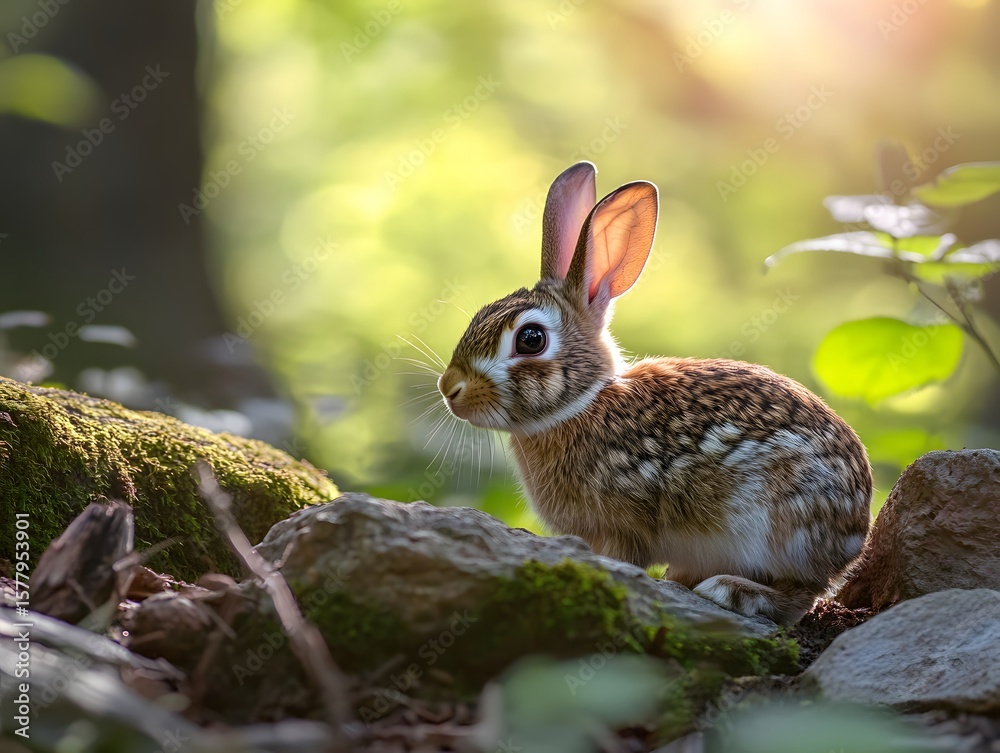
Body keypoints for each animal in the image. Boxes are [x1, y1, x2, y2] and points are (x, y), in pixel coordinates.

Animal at [437, 161, 872, 625]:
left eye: (531, 339)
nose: (450, 388)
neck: (583, 404)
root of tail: (856, 531)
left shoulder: (624, 525)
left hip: (781, 521)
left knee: (800, 595)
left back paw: (730, 591)